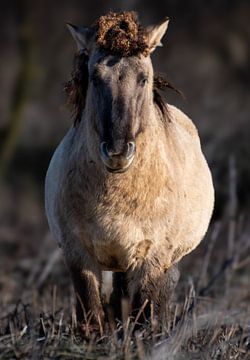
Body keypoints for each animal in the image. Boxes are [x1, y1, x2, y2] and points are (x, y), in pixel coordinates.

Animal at [44, 11, 213, 332]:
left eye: (143, 78)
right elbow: (92, 315)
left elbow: (144, 315)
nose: (117, 152)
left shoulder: (154, 258)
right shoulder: (78, 256)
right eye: (95, 78)